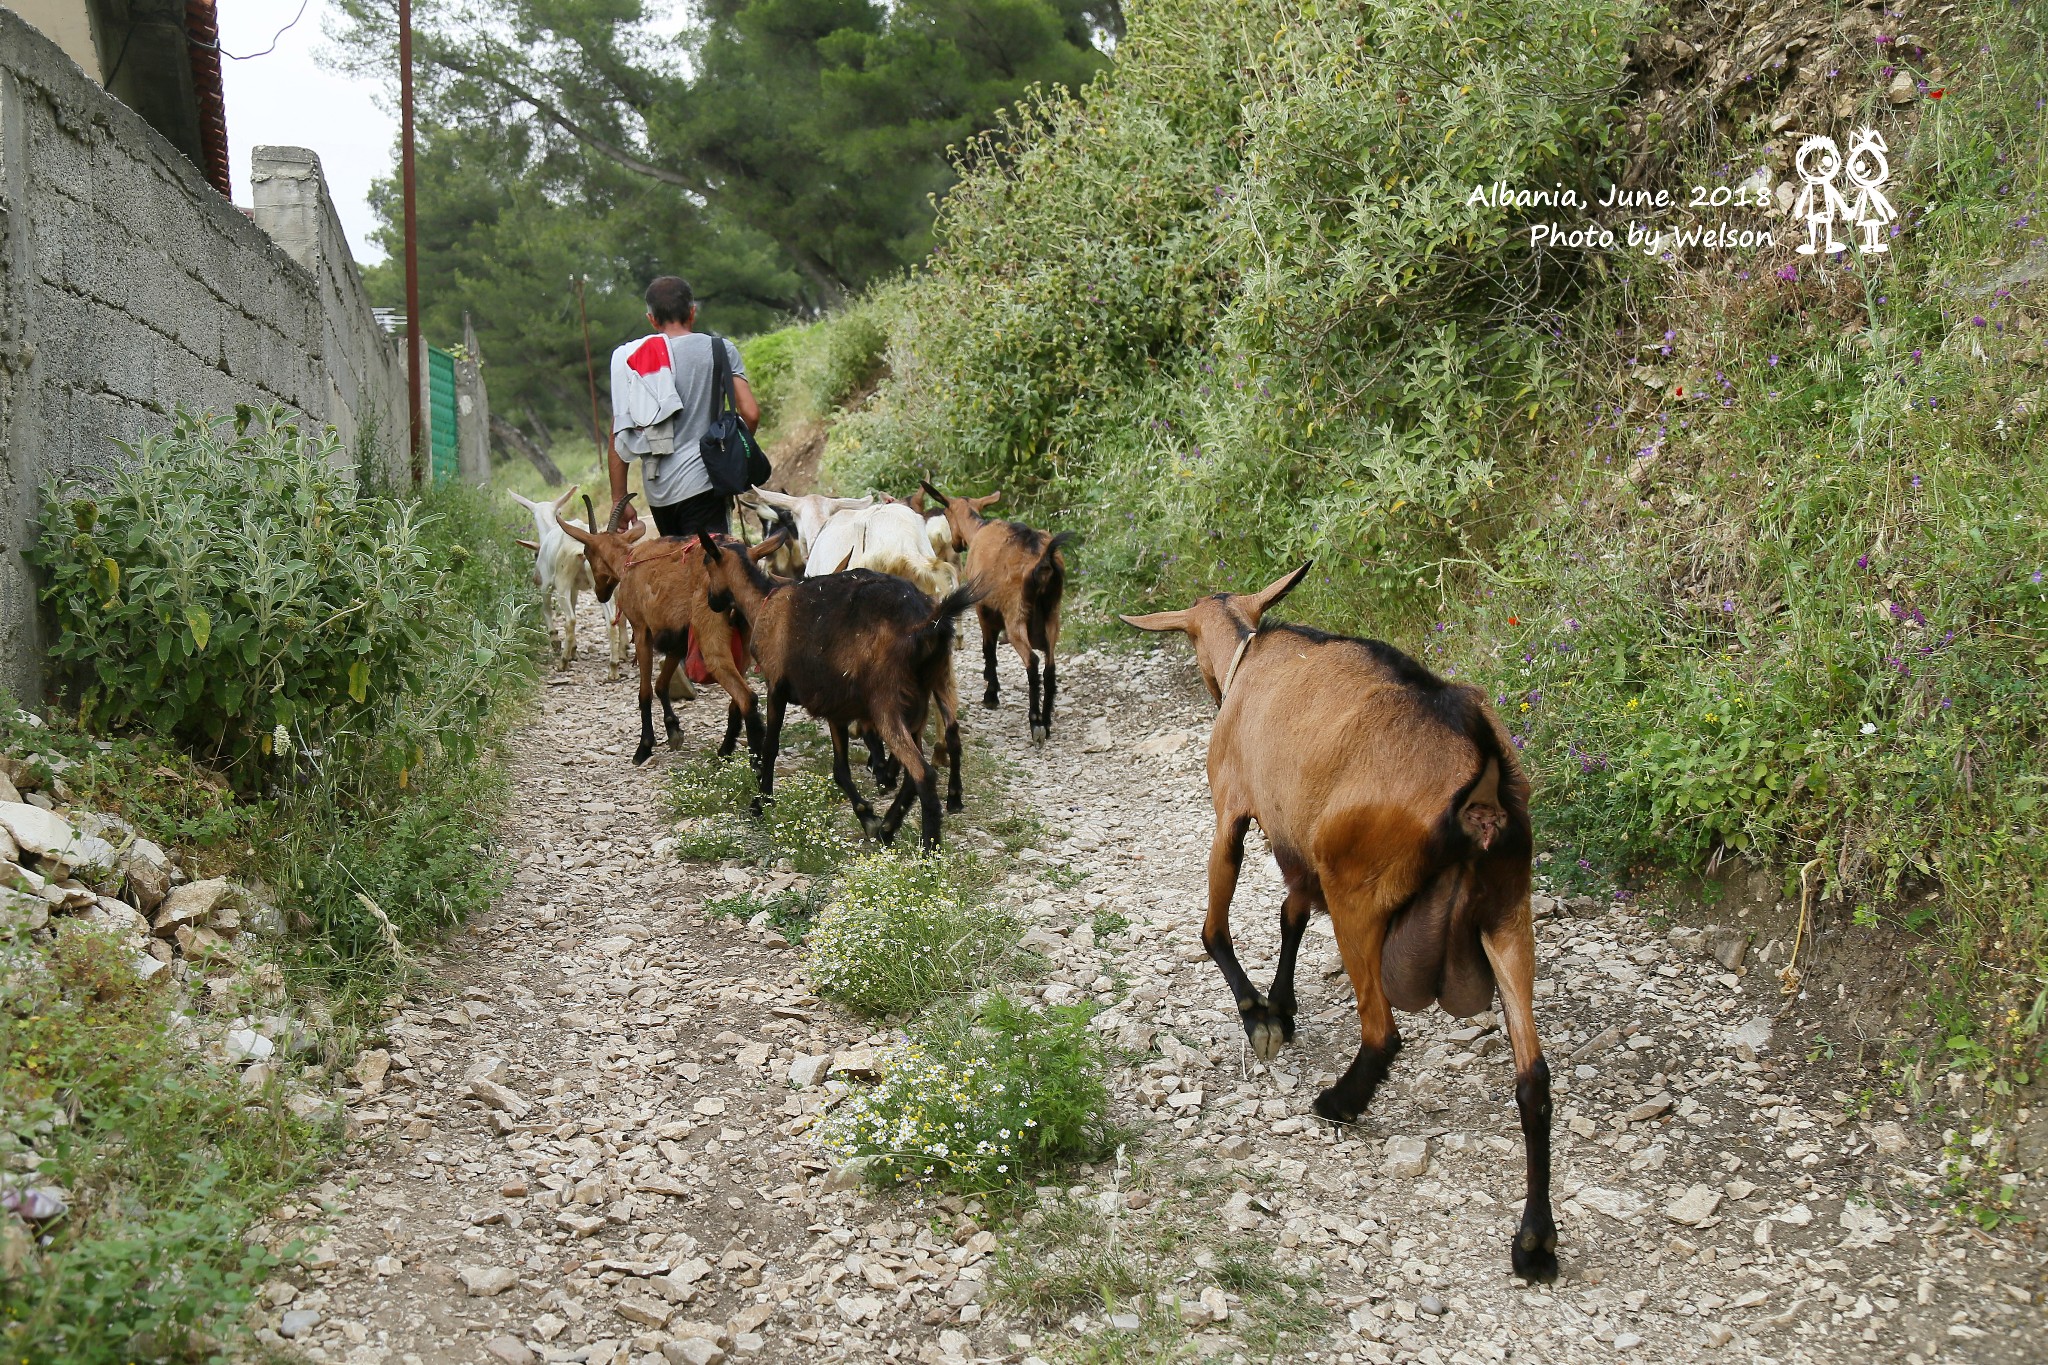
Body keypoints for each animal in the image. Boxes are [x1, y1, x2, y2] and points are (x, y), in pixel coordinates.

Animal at [561, 493, 782, 769]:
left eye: (586, 553)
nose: (601, 594)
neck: (628, 562)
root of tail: (750, 552)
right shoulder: (678, 639)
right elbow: (661, 684)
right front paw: (673, 729)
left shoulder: (642, 630)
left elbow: (645, 691)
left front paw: (644, 746)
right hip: (743, 637)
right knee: (737, 701)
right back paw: (725, 751)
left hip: (711, 634)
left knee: (746, 697)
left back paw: (754, 764)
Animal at [692, 532, 970, 843]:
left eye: (706, 563)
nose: (712, 602)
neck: (764, 602)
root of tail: (927, 623)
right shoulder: (835, 707)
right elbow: (840, 769)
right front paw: (867, 815)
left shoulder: (776, 685)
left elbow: (770, 746)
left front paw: (760, 803)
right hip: (929, 689)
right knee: (936, 748)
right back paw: (891, 825)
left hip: (886, 701)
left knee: (922, 772)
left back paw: (927, 845)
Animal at [917, 482, 1073, 740]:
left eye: (947, 515)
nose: (957, 544)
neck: (979, 529)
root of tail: (1044, 560)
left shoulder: (983, 607)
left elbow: (988, 649)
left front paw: (991, 693)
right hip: (1052, 614)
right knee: (1050, 666)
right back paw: (1047, 722)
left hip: (1015, 614)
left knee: (1032, 660)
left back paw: (1035, 722)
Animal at [1122, 564, 1548, 1285]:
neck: (1251, 650)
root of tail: (1481, 778)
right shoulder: (1301, 851)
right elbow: (1291, 915)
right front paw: (1283, 1003)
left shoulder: (1234, 810)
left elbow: (1216, 928)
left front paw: (1260, 1014)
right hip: (1507, 914)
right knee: (1534, 1083)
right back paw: (1535, 1242)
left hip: (1360, 897)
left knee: (1382, 1033)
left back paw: (1339, 1103)